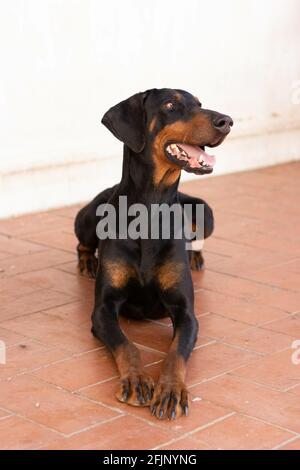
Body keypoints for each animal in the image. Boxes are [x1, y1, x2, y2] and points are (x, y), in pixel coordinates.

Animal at [74, 87, 233, 418]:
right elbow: (127, 345)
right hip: (91, 215)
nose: (227, 121)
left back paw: (195, 256)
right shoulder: (103, 309)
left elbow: (176, 353)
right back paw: (87, 263)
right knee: (82, 242)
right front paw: (136, 380)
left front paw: (170, 390)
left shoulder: (186, 312)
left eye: (199, 103)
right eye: (171, 104)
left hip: (205, 212)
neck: (150, 207)